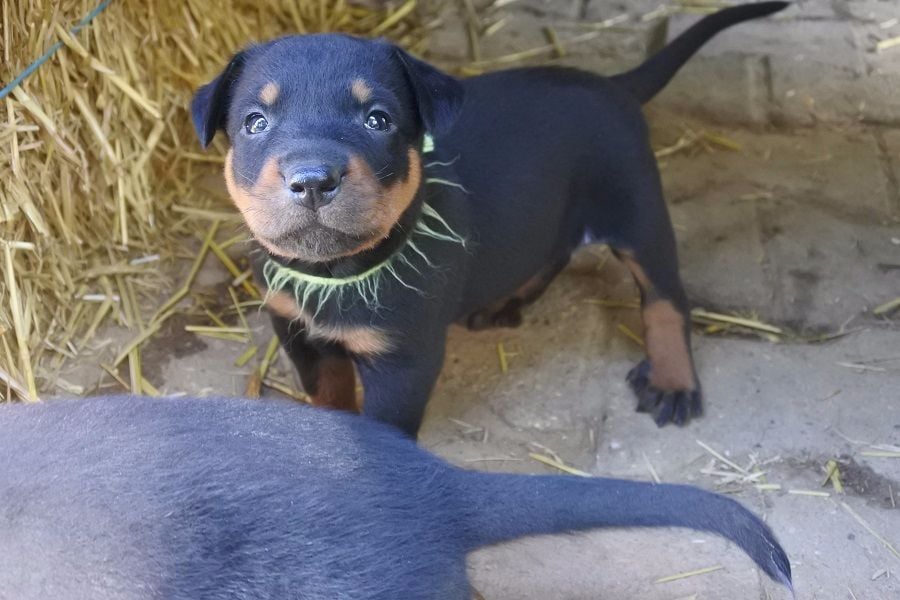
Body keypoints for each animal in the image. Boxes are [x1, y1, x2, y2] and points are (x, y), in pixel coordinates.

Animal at [191, 3, 789, 435]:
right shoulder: (296, 331)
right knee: (554, 248)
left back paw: (672, 381)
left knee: (665, 298)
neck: (337, 272)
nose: (313, 179)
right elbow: (329, 397)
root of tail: (613, 84)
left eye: (378, 119)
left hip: (637, 209)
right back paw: (506, 301)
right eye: (255, 123)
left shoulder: (403, 361)